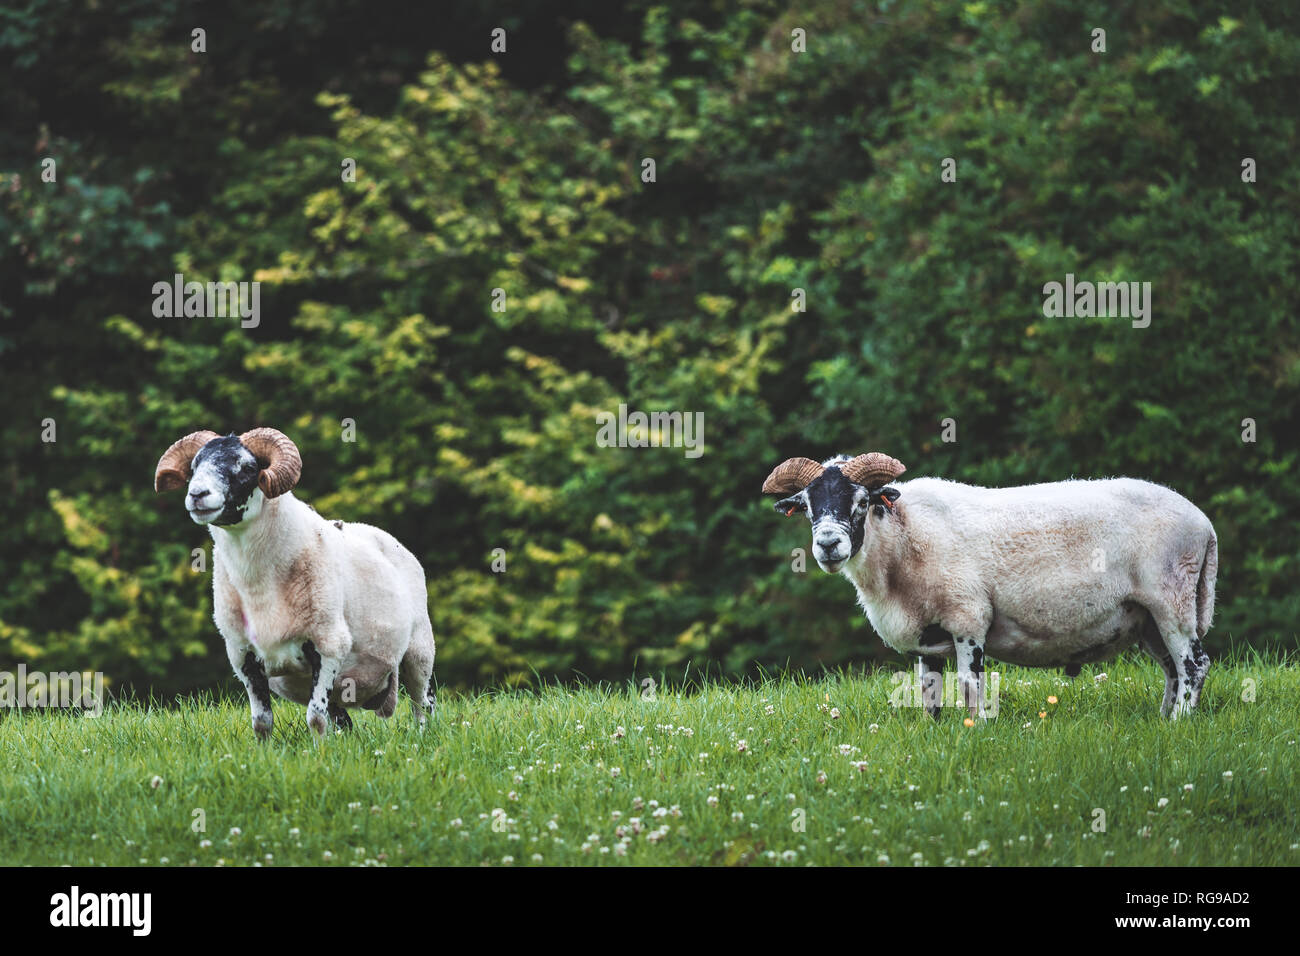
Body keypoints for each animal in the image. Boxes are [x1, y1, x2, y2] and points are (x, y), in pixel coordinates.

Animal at [155, 428, 436, 739]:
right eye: (194, 467)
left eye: (248, 467)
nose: (197, 495)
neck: (259, 585)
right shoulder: (243, 656)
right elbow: (262, 722)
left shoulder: (328, 645)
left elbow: (315, 718)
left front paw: (320, 751)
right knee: (344, 721)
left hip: (420, 651)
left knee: (423, 705)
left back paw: (423, 737)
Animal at [764, 453, 1217, 719]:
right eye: (807, 506)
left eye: (862, 502)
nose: (827, 544)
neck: (904, 536)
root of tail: (1203, 525)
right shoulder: (925, 635)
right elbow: (928, 692)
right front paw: (934, 732)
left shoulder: (968, 618)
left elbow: (971, 685)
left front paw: (976, 728)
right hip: (1146, 617)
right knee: (1173, 670)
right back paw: (1162, 718)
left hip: (1172, 597)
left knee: (1194, 665)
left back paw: (1180, 723)